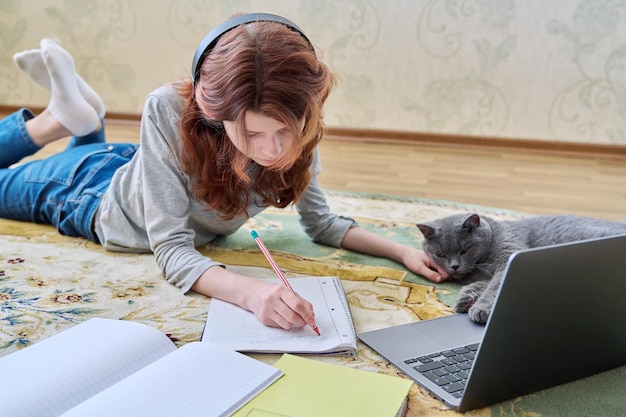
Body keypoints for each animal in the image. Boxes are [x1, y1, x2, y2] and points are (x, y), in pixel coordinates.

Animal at [414, 213, 624, 324]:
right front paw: (465, 300)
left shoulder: (507, 260)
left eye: (465, 250)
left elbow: (493, 288)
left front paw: (479, 308)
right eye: (440, 255)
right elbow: (481, 285)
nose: (455, 266)